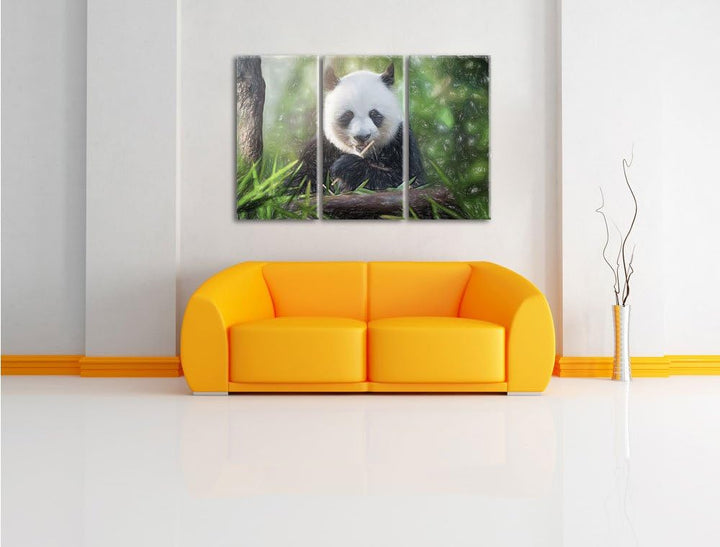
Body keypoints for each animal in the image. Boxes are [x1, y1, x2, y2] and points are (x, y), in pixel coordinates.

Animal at [288, 63, 425, 193]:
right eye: (348, 115)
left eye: (374, 114)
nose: (362, 137)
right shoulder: (323, 146)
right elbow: (298, 181)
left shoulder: (400, 142)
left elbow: (408, 179)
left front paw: (346, 166)